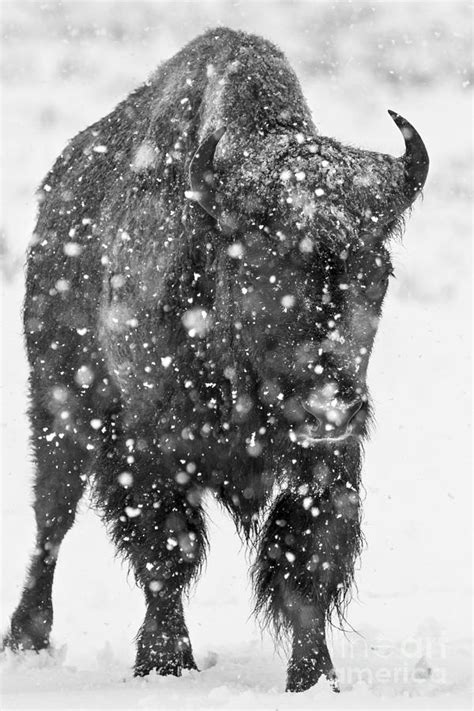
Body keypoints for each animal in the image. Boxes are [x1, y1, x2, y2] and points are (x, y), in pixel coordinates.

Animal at [2, 29, 426, 696]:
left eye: (377, 273)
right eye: (258, 264)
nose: (330, 405)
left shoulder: (328, 463)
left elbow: (304, 562)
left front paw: (314, 679)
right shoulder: (147, 449)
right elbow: (166, 553)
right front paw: (162, 662)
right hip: (61, 408)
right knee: (53, 518)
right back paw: (27, 638)